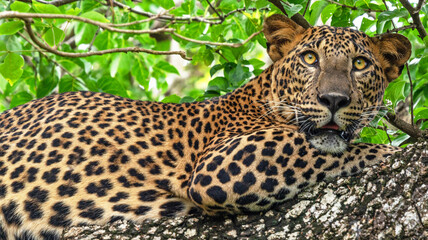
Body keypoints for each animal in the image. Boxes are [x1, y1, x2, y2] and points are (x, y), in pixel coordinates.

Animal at [0, 14, 412, 239]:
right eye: (310, 59)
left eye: (360, 64)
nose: (334, 100)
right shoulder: (223, 162)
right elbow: (334, 148)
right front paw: (389, 151)